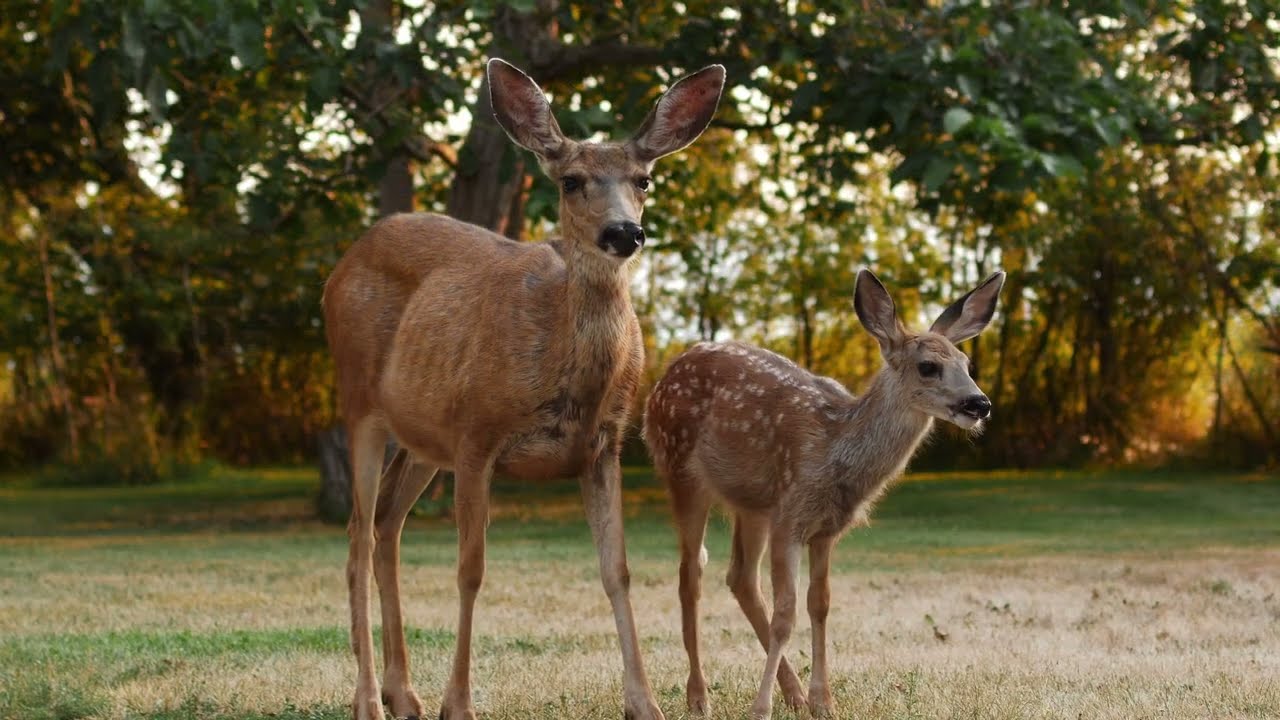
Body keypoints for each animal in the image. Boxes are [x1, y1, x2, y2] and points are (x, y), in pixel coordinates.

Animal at [322, 58, 725, 720]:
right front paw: (459, 704)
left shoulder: (605, 444)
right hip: (359, 401)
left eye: (643, 179)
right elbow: (471, 570)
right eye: (571, 181)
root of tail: (338, 269)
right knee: (357, 535)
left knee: (385, 528)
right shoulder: (477, 433)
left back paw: (403, 692)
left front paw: (645, 702)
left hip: (423, 439)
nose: (624, 232)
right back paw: (369, 700)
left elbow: (617, 569)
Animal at [643, 269, 1005, 719]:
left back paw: (793, 694)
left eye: (967, 364)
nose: (979, 403)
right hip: (680, 469)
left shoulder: (825, 529)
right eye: (928, 367)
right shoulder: (791, 519)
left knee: (740, 577)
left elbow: (820, 605)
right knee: (690, 574)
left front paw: (822, 701)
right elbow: (785, 615)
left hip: (753, 504)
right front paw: (761, 708)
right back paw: (699, 696)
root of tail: (660, 381)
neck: (837, 451)